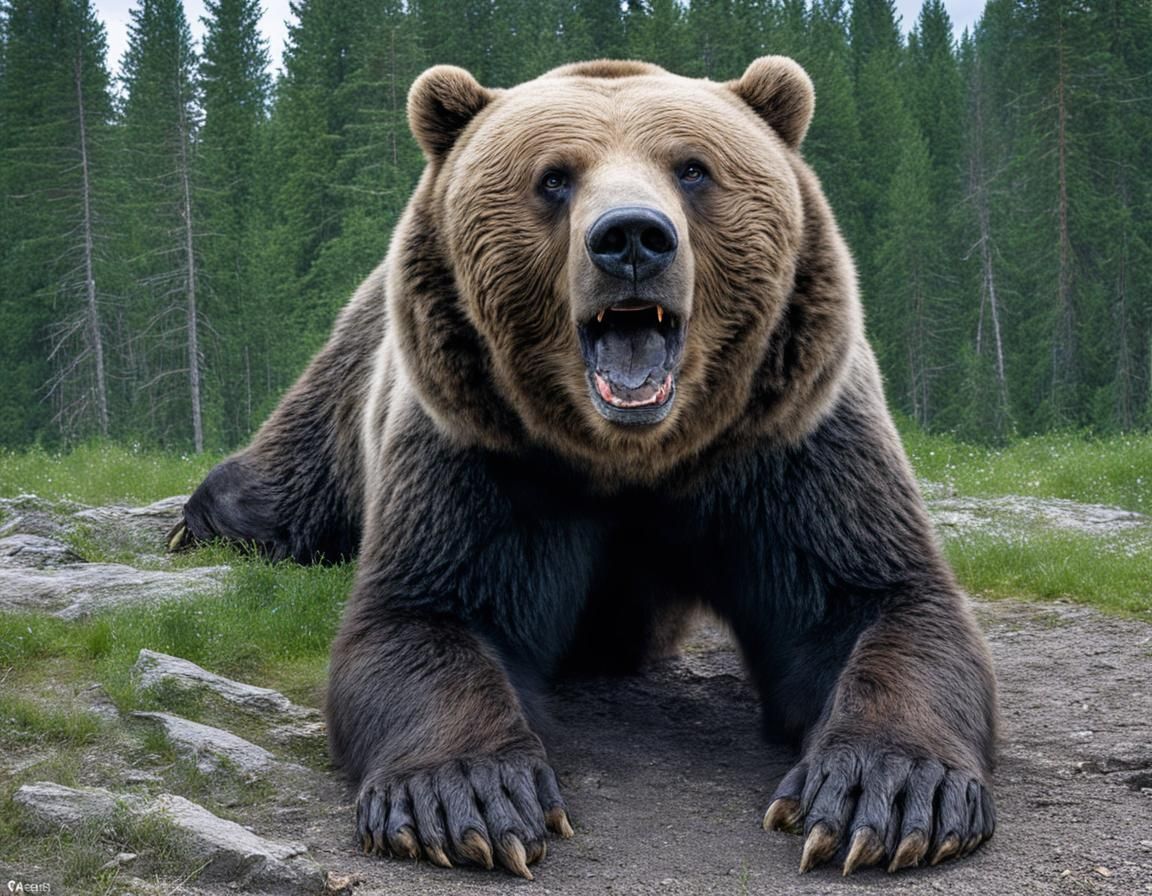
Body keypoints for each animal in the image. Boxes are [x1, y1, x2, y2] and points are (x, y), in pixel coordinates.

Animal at [169, 56, 998, 878]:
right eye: (554, 178)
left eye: (692, 168)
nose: (632, 237)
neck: (636, 456)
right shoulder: (484, 453)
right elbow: (423, 617)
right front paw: (468, 797)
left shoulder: (788, 446)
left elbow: (877, 603)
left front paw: (886, 794)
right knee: (286, 483)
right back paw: (201, 525)